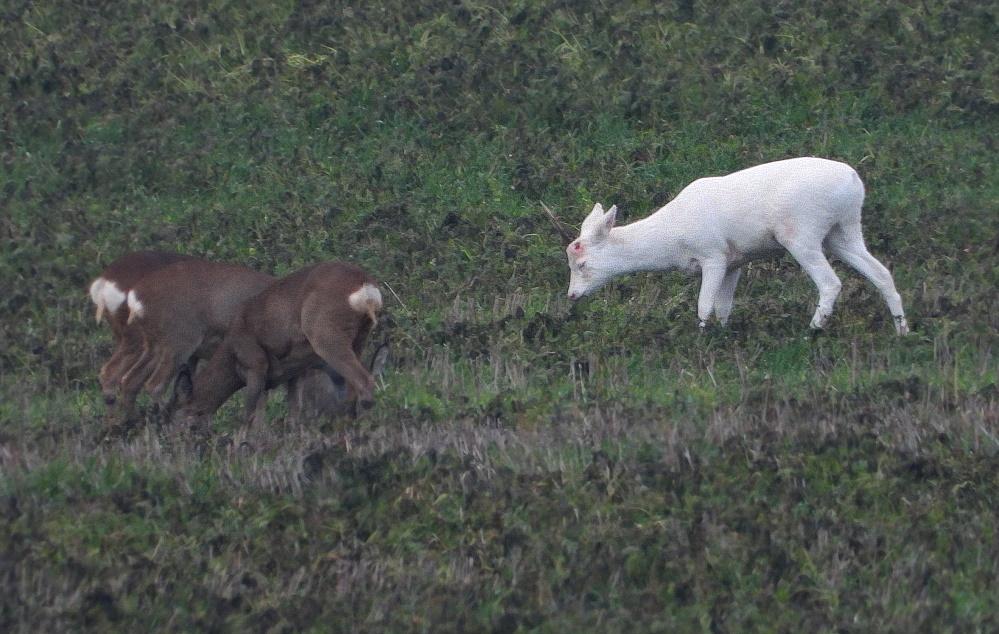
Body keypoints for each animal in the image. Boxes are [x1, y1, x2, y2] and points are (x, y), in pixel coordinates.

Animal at [176, 260, 382, 428]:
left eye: (178, 419)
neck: (232, 351)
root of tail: (367, 288)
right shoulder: (296, 372)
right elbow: (289, 416)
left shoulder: (255, 364)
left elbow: (249, 417)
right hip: (359, 339)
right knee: (353, 391)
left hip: (326, 336)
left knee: (364, 382)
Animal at [568, 156, 912, 334]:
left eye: (581, 264)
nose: (571, 295)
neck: (671, 237)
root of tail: (854, 181)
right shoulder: (735, 261)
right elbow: (723, 307)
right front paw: (722, 335)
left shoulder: (713, 255)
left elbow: (704, 305)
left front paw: (701, 339)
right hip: (844, 231)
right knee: (882, 273)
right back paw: (902, 330)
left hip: (801, 233)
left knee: (830, 282)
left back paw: (812, 330)